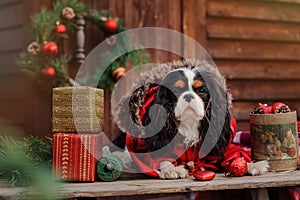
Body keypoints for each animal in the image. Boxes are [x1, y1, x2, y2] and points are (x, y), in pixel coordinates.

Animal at [106, 58, 268, 179]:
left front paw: (252, 165)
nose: (189, 96)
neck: (189, 124)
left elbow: (233, 153)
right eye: (176, 90)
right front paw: (172, 169)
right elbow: (161, 158)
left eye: (201, 90)